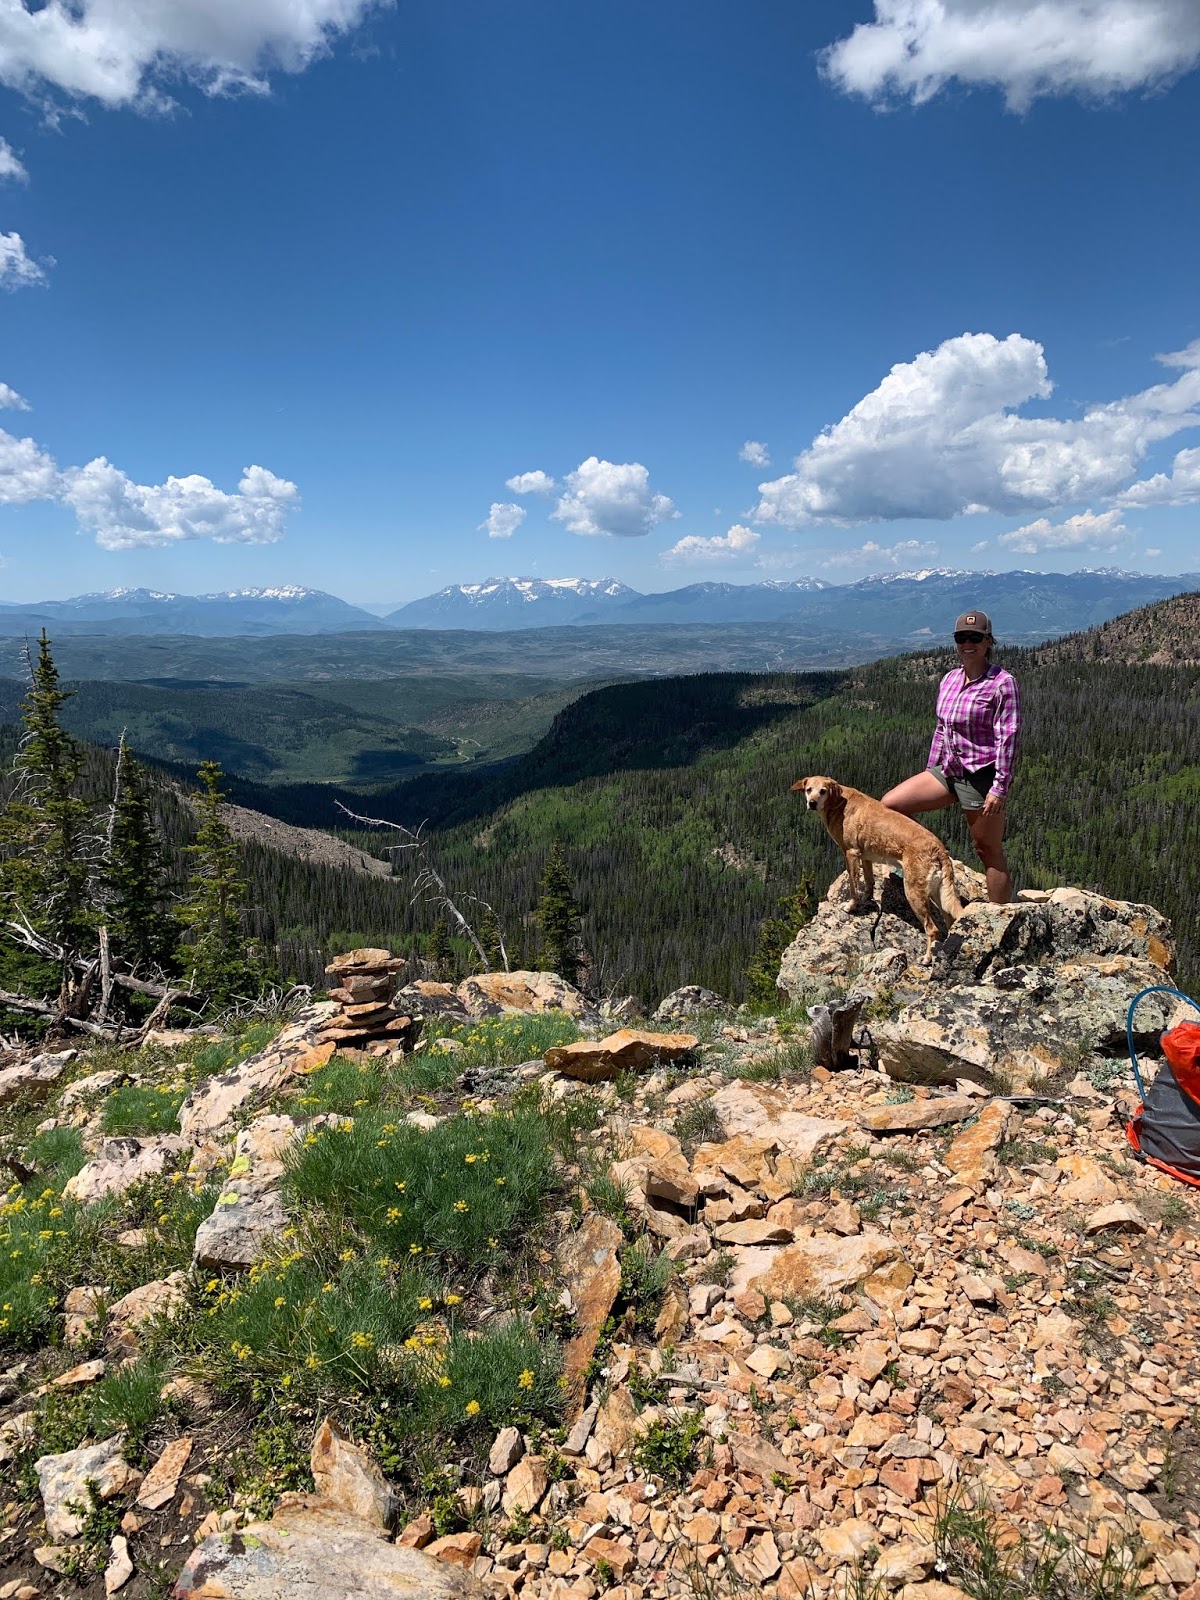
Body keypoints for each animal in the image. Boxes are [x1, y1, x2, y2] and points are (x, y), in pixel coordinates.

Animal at [800, 777, 966, 960]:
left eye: (822, 791)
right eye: (808, 789)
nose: (812, 803)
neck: (838, 802)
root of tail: (939, 849)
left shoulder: (851, 853)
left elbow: (853, 885)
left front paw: (851, 906)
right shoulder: (865, 857)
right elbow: (869, 880)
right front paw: (868, 898)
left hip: (914, 892)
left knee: (932, 929)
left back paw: (927, 958)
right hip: (940, 893)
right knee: (950, 920)